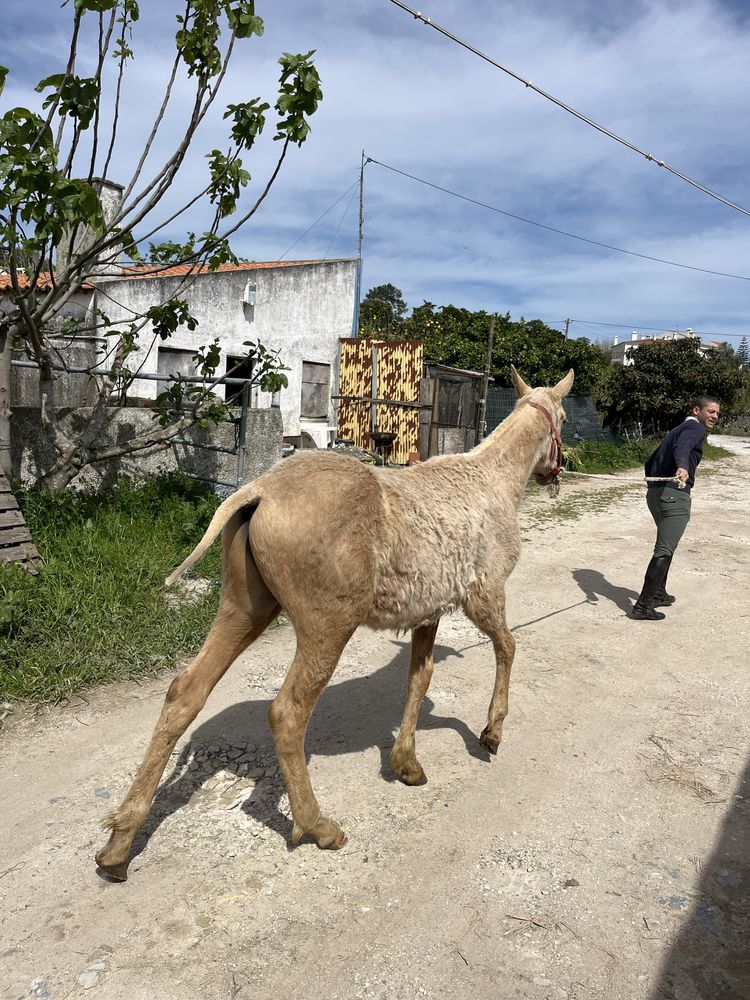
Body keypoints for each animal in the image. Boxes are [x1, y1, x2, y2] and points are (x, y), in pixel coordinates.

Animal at [95, 366, 576, 876]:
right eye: (564, 418)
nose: (557, 470)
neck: (492, 481)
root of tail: (257, 492)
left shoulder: (428, 609)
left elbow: (420, 677)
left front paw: (406, 763)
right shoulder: (484, 592)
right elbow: (507, 646)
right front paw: (491, 732)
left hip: (244, 607)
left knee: (186, 692)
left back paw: (120, 842)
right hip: (328, 624)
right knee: (287, 712)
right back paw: (318, 826)